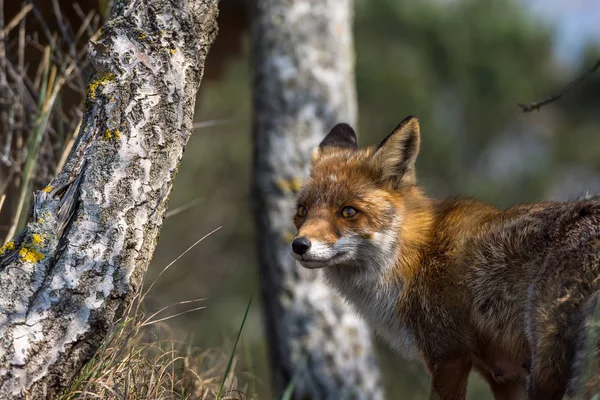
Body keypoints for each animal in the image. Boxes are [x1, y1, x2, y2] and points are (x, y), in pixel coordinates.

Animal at [288, 115, 600, 400]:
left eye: (348, 211)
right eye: (302, 210)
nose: (299, 245)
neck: (417, 257)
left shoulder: (448, 355)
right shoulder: (503, 374)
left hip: (546, 369)